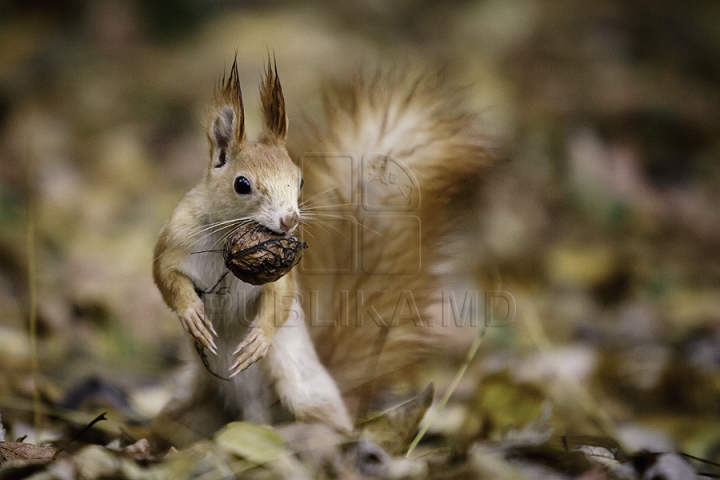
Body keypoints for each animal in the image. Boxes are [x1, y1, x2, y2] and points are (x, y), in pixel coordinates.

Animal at [149, 59, 492, 446]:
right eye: (242, 184)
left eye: (299, 180)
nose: (290, 220)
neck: (226, 236)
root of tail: (251, 412)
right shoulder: (175, 241)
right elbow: (165, 277)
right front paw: (192, 313)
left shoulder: (278, 274)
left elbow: (280, 297)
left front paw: (259, 338)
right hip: (191, 399)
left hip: (297, 383)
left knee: (327, 422)